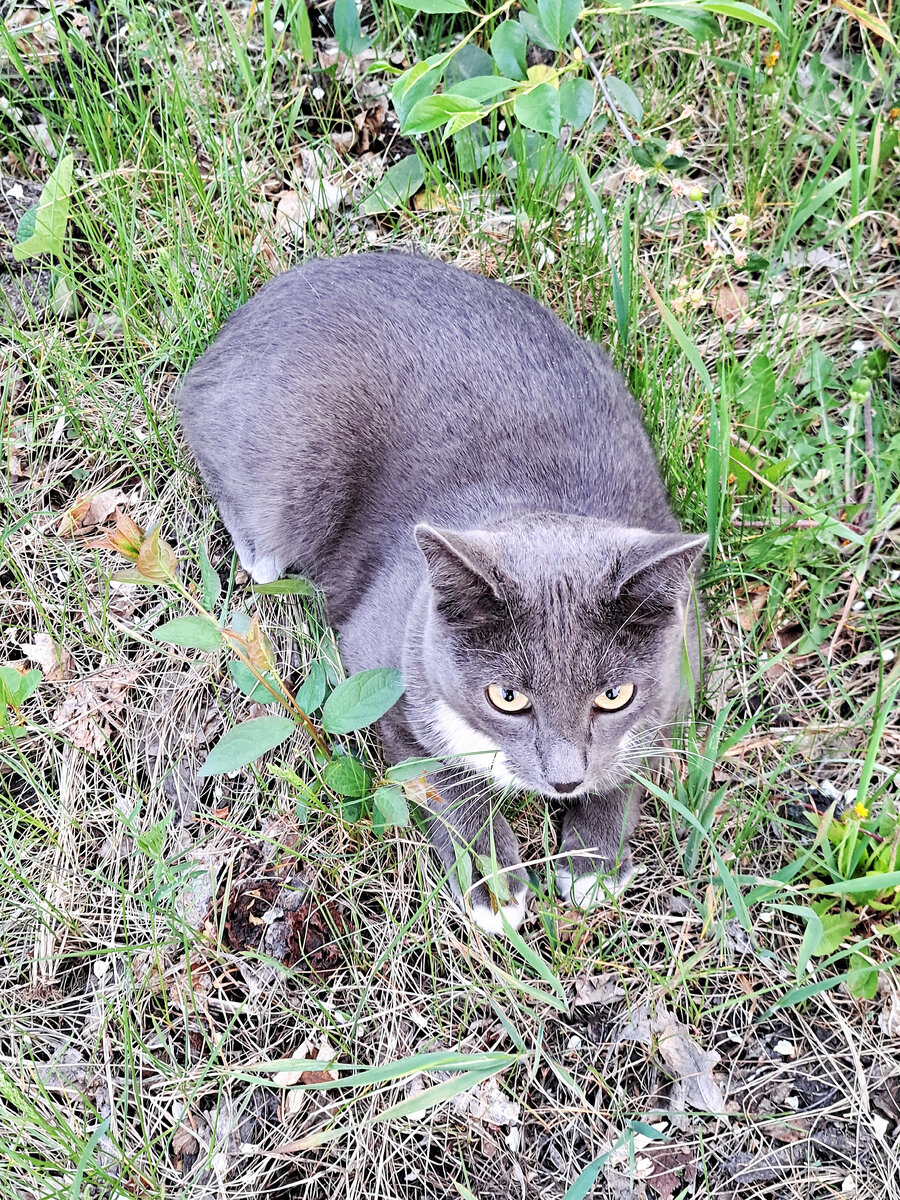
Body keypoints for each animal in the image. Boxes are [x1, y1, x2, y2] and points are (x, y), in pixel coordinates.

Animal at [180, 250, 710, 926]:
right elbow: (437, 773)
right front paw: (494, 881)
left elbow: (635, 758)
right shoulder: (382, 664)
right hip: (287, 462)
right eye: (507, 697)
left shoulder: (681, 661)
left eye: (615, 695)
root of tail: (243, 320)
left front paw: (593, 860)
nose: (564, 781)